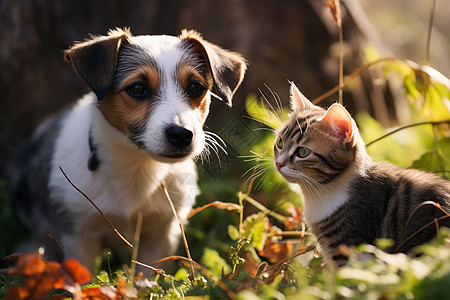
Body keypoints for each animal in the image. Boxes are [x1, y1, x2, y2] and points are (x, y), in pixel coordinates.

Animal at [8, 28, 246, 270]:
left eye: (196, 87)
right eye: (137, 88)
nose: (181, 134)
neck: (137, 164)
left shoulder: (162, 233)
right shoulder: (79, 233)